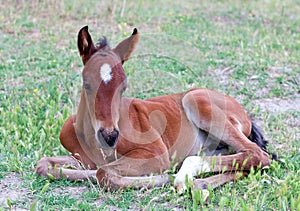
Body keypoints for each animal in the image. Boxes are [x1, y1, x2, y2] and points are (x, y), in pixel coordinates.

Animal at [35, 26, 274, 191]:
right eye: (87, 83)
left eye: (124, 86)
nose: (109, 136)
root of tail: (245, 113)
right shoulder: (80, 158)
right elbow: (44, 165)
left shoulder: (156, 154)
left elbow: (103, 173)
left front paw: (159, 177)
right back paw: (200, 184)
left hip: (196, 100)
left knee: (257, 154)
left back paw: (185, 176)